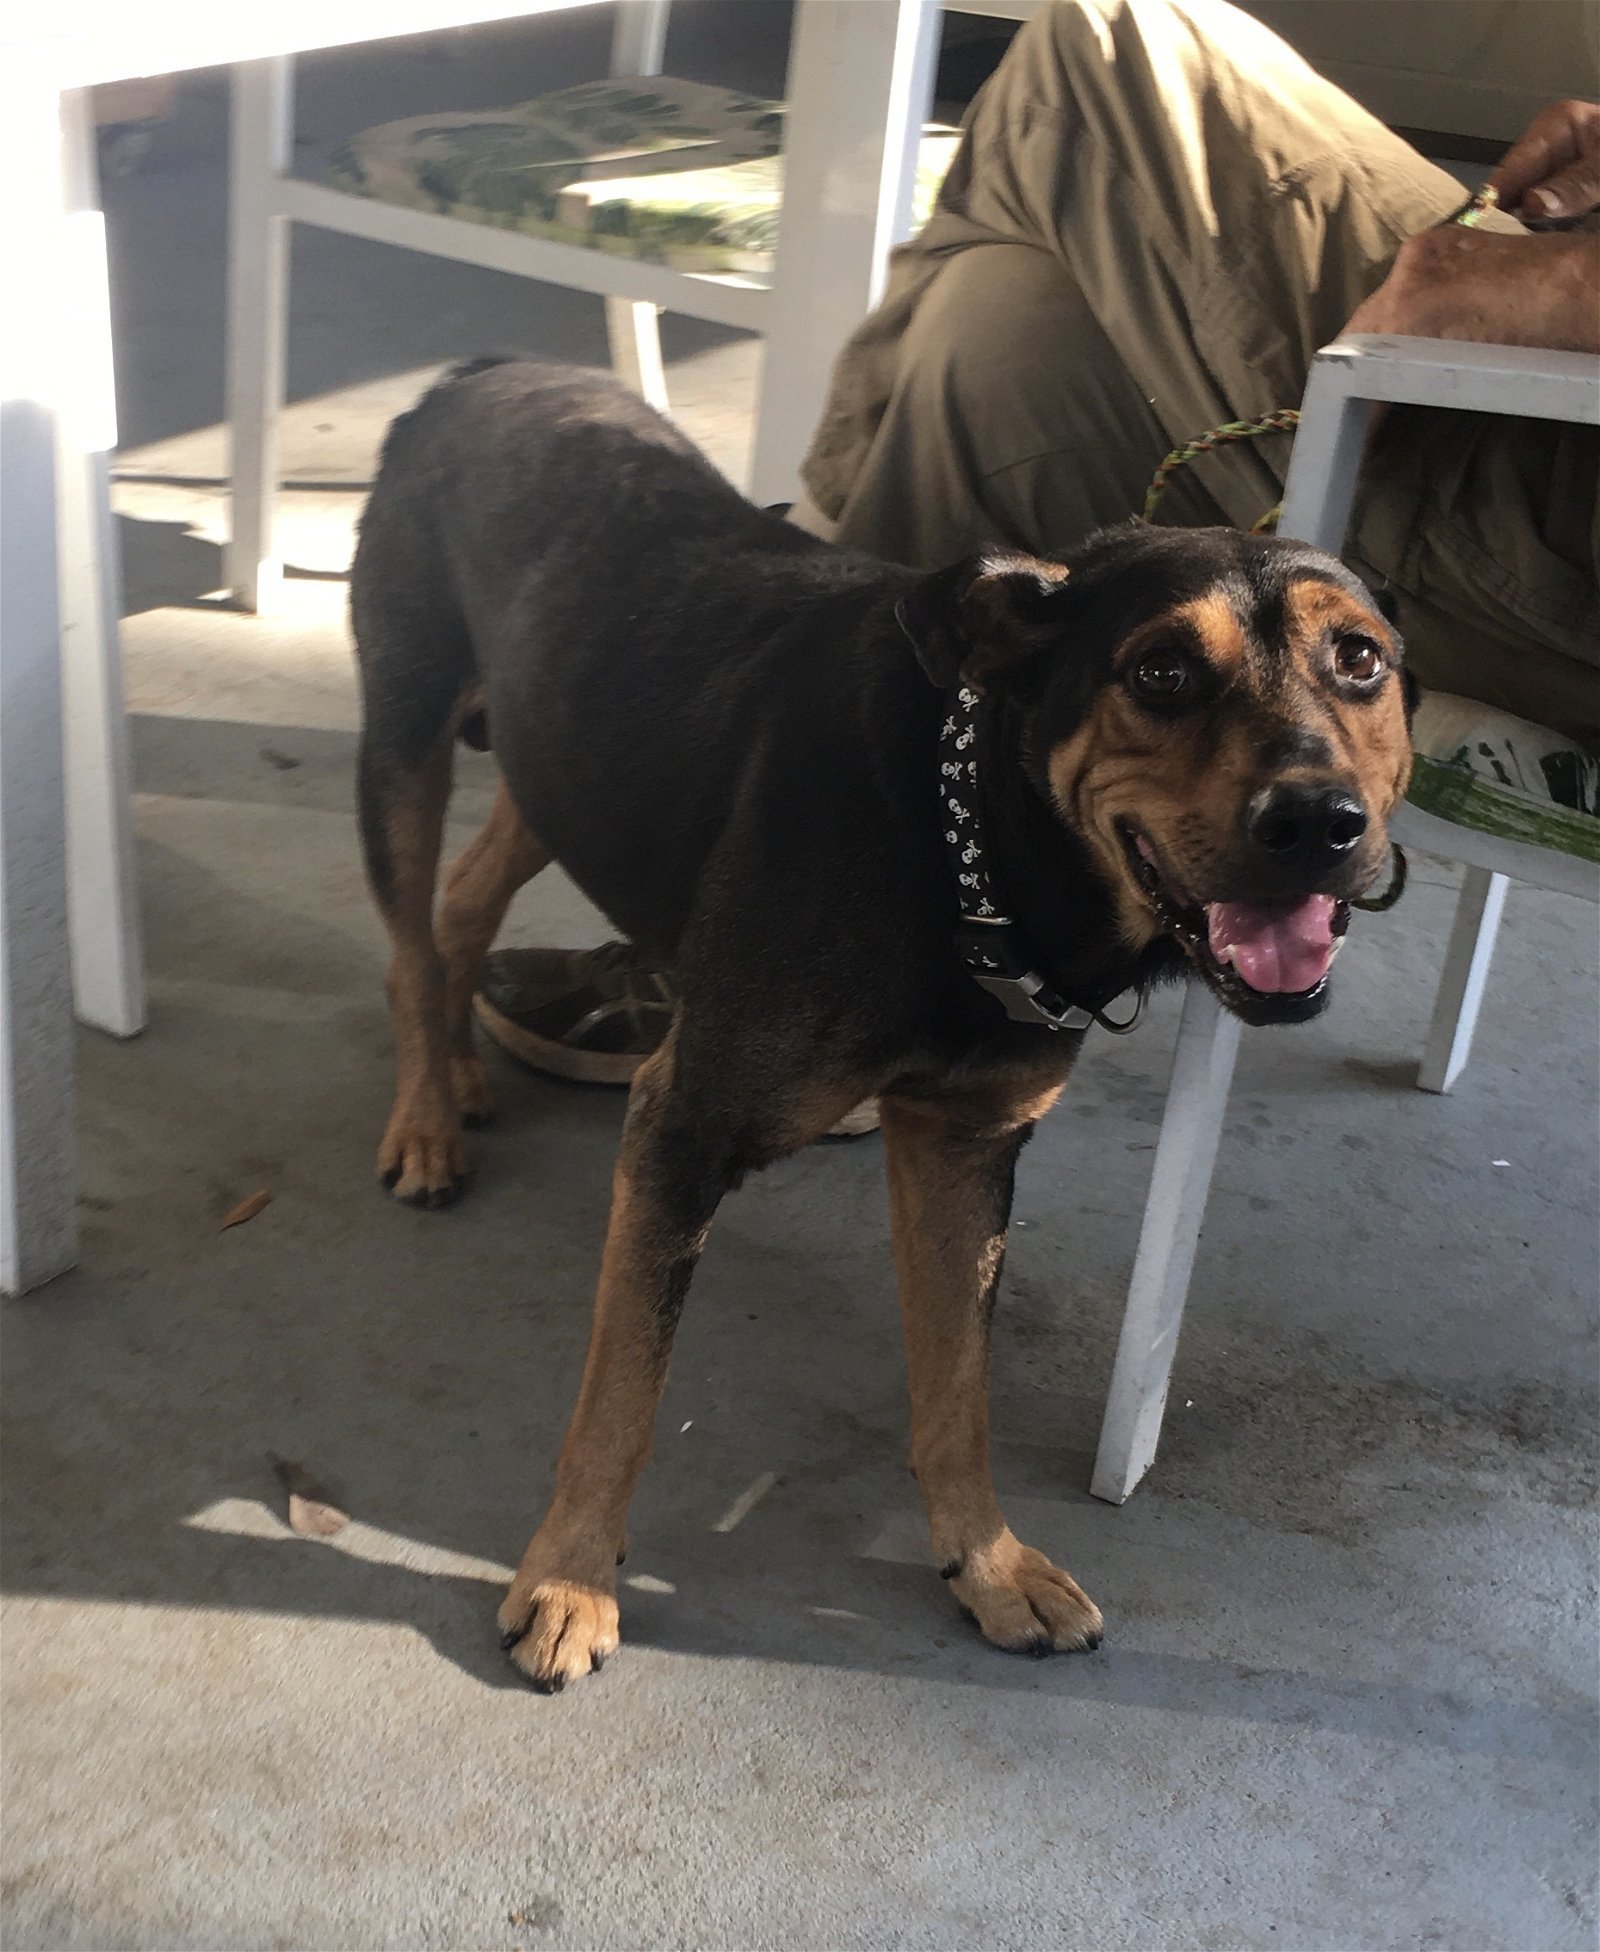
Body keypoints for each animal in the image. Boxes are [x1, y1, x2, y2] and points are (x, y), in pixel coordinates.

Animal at [353, 359, 1412, 1686]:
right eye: (1162, 671)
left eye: (1361, 658)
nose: (1318, 820)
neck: (967, 842)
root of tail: (477, 369)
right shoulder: (682, 1129)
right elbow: (623, 1394)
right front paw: (569, 1576)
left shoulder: (966, 1145)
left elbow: (958, 1386)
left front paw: (987, 1563)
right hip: (404, 735)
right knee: (408, 933)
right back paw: (424, 1118)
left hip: (560, 760)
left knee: (459, 904)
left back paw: (459, 1071)